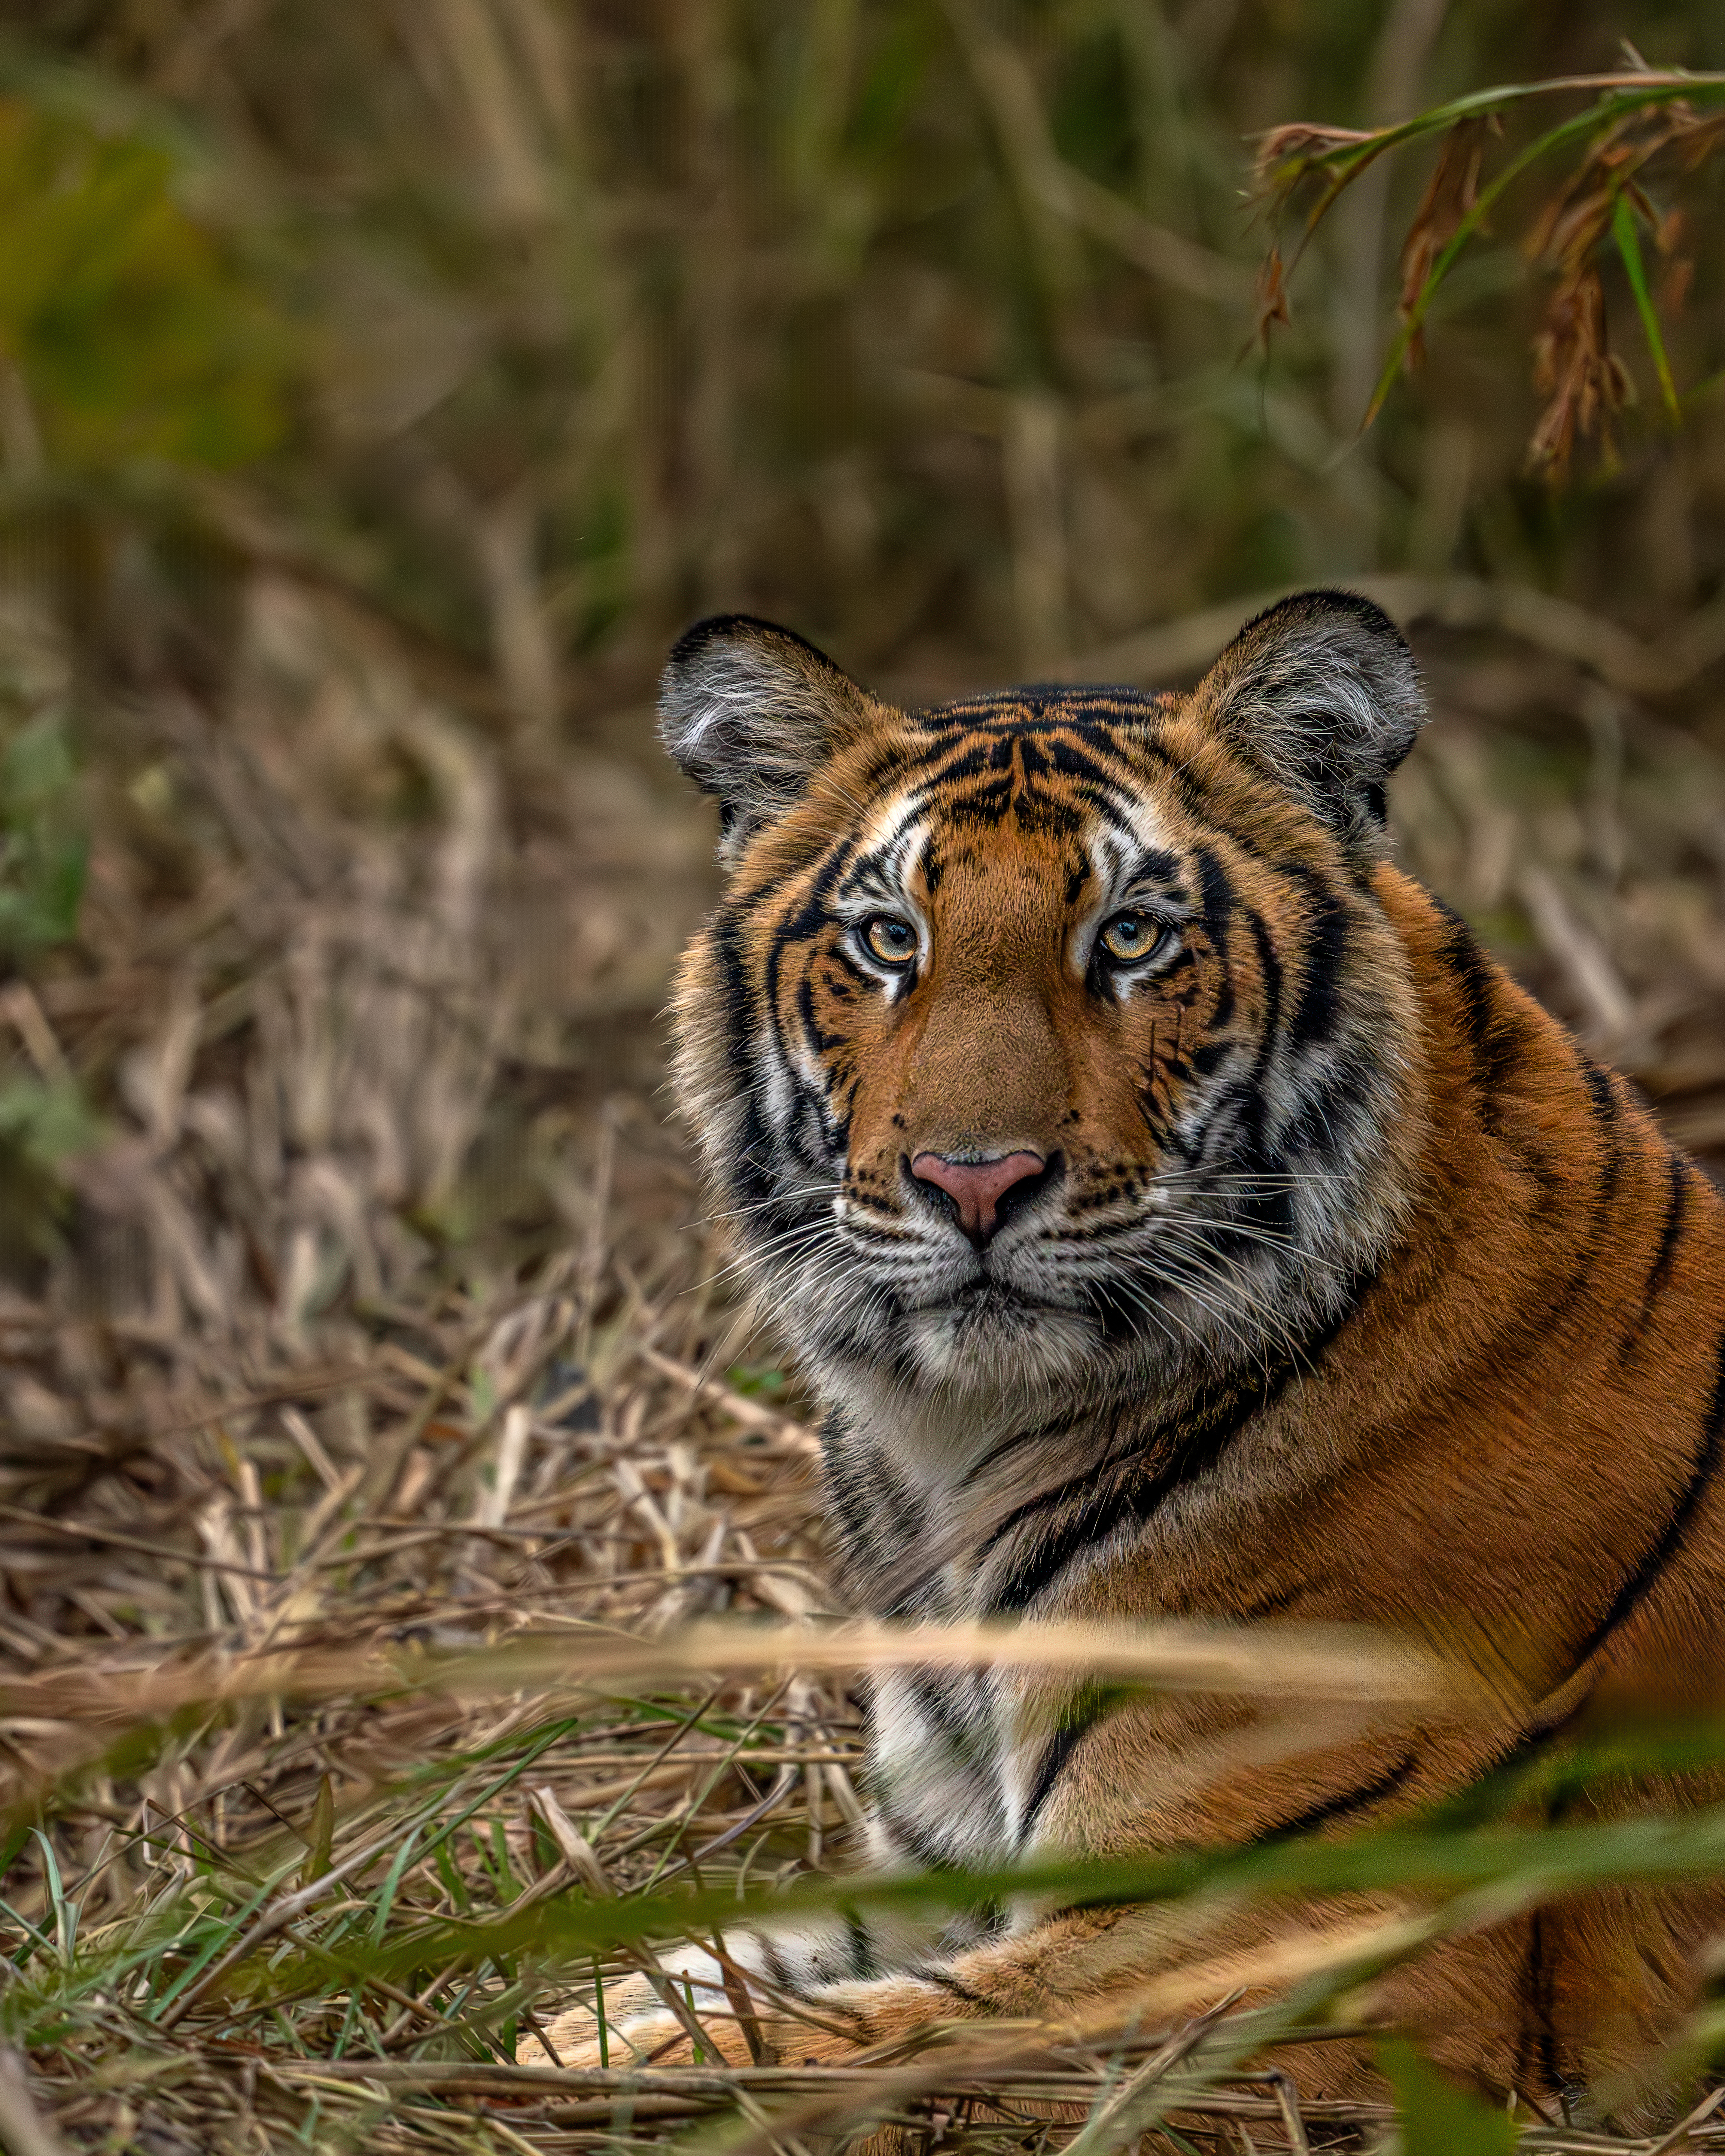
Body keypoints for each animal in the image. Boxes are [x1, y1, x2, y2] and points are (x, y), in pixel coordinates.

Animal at [525, 591, 1725, 2127]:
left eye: (1134, 936)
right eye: (887, 939)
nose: (972, 1181)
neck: (952, 1452)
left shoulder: (1294, 1932)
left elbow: (865, 2033)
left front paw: (570, 2064)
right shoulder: (951, 1868)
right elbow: (726, 1961)